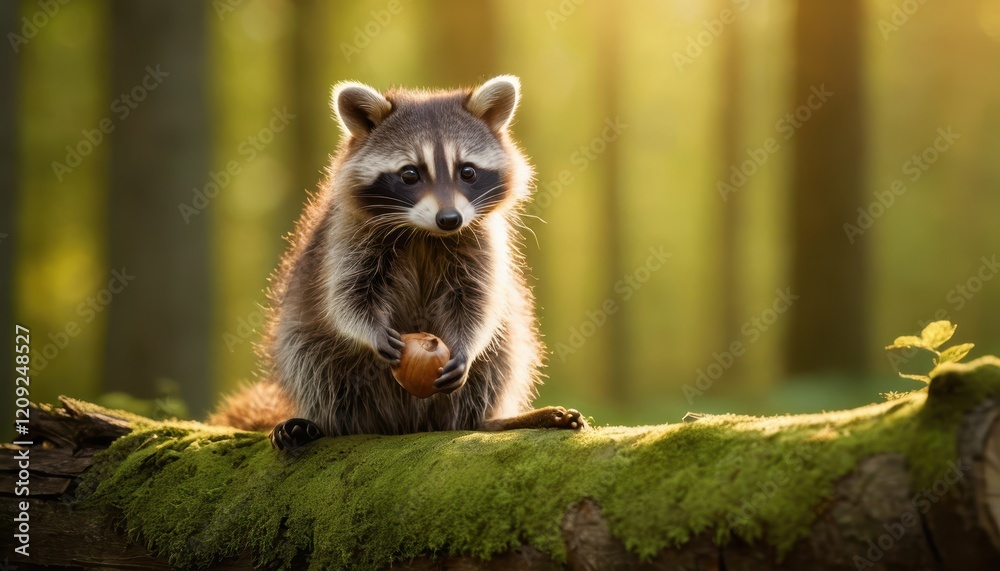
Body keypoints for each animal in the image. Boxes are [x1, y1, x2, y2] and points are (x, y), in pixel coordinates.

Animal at [209, 75, 585, 450]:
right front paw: (369, 331)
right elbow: (346, 296)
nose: (449, 219)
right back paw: (324, 424)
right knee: (312, 363)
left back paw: (492, 421)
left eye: (467, 171)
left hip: (503, 345)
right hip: (306, 340)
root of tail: (405, 424)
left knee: (501, 355)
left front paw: (466, 346)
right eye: (409, 174)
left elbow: (477, 301)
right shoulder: (346, 235)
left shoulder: (480, 240)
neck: (424, 233)